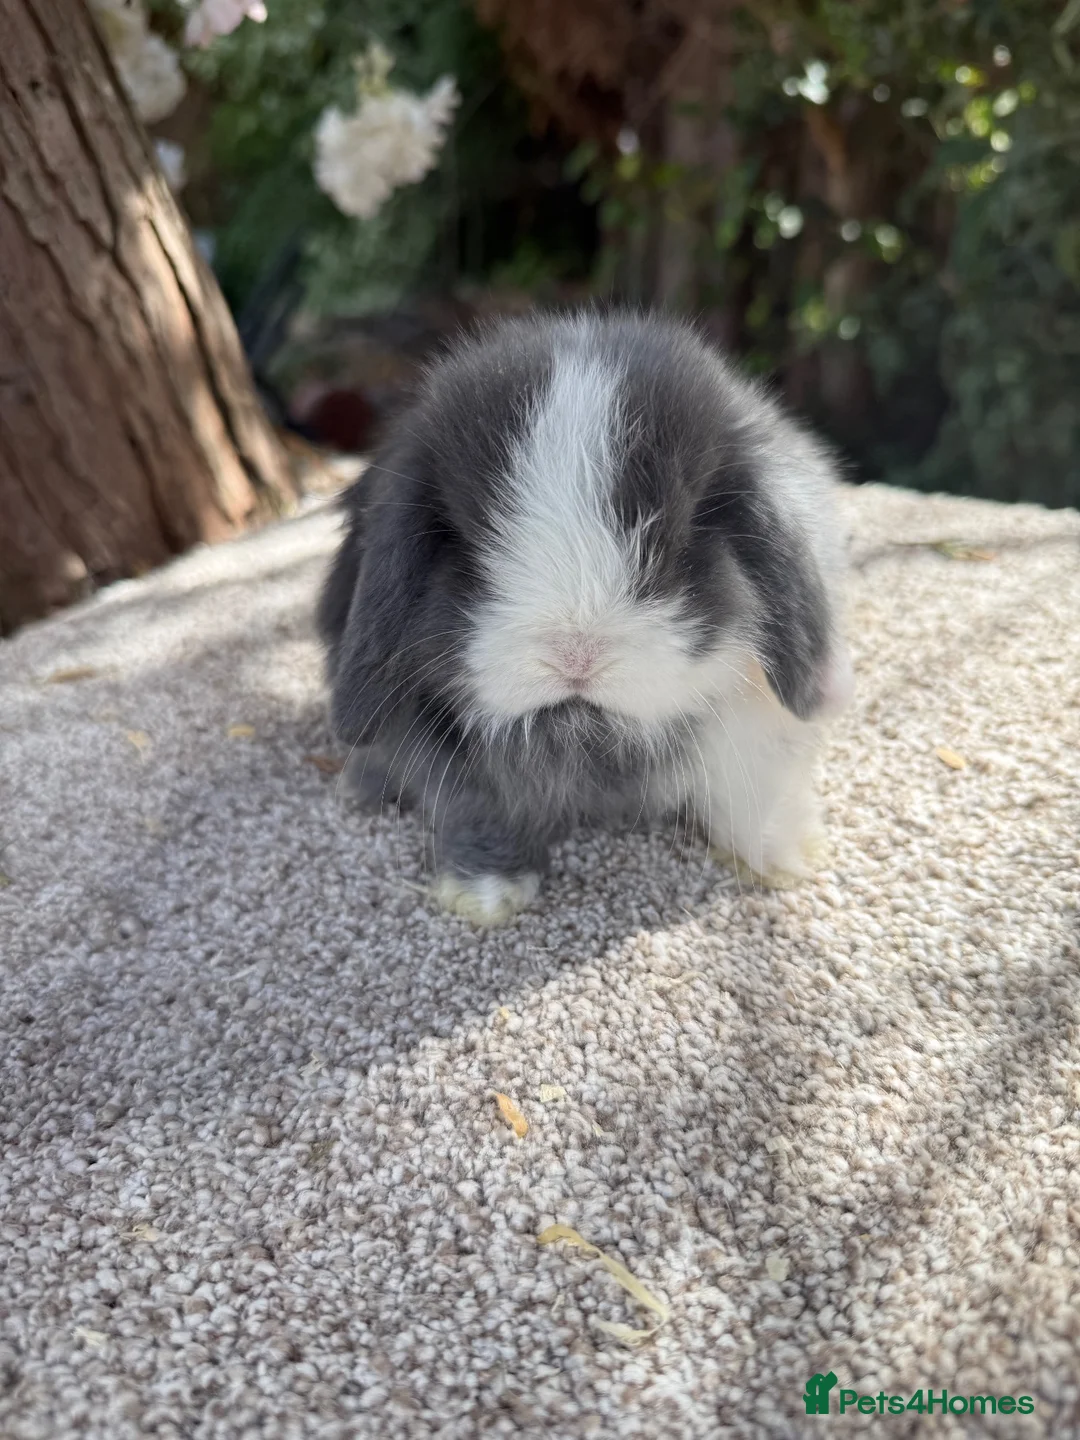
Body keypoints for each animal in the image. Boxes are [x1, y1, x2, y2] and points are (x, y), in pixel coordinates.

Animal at [318, 310, 854, 925]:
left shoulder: (756, 726)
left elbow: (753, 790)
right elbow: (482, 810)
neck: (591, 738)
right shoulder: (457, 764)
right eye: (467, 540)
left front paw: (785, 858)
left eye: (682, 540)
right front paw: (485, 897)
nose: (575, 657)